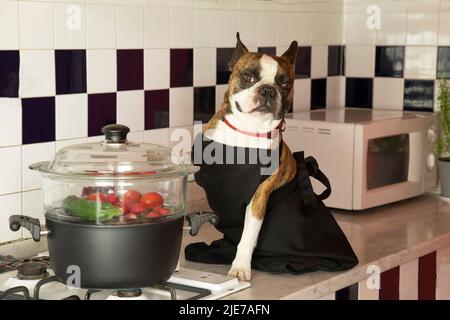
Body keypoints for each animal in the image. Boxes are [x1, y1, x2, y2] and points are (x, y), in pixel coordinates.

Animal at [200, 33, 298, 282]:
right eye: (248, 77)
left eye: (285, 84)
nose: (268, 90)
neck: (249, 130)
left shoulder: (258, 197)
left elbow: (248, 235)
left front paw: (240, 267)